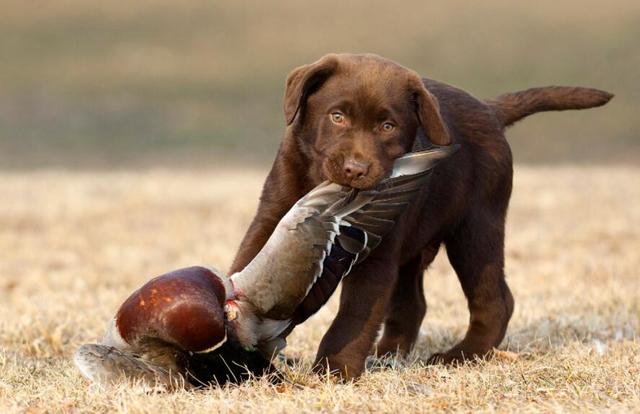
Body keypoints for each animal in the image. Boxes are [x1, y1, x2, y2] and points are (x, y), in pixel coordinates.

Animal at [229, 54, 608, 378]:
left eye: (387, 126)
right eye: (337, 117)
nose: (356, 169)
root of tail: (489, 109)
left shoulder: (378, 253)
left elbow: (355, 313)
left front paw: (335, 368)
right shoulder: (271, 214)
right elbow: (250, 262)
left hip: (476, 228)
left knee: (496, 300)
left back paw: (462, 354)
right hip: (419, 245)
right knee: (414, 303)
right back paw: (388, 355)